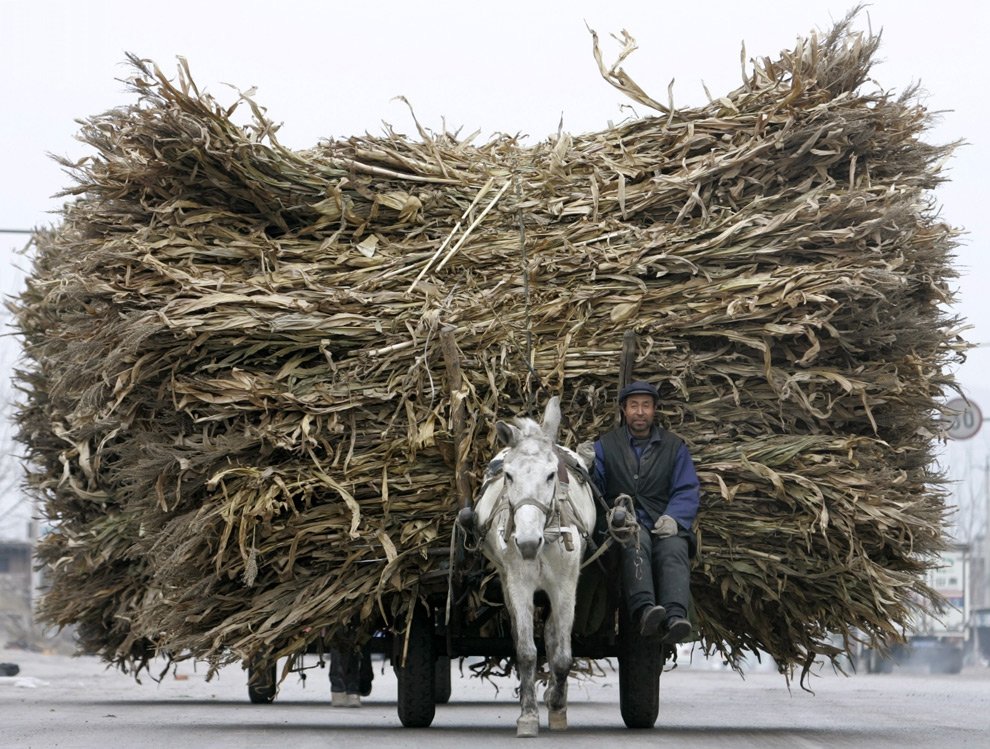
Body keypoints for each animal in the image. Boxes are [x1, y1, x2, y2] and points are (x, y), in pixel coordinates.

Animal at [472, 398, 596, 736]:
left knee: (553, 635)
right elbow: (526, 652)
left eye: (552, 475)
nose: (527, 542)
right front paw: (527, 716)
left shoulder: (565, 586)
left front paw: (556, 707)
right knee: (520, 633)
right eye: (509, 477)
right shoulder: (518, 583)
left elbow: (563, 655)